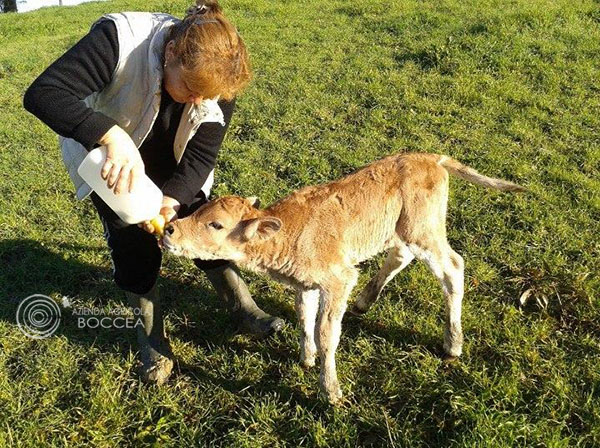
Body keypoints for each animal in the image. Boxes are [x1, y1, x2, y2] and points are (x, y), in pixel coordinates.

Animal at [162, 152, 524, 404]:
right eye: (198, 211)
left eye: (216, 225)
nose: (169, 229)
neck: (288, 235)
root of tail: (430, 157)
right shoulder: (306, 283)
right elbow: (304, 316)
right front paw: (306, 358)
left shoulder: (339, 278)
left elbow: (326, 333)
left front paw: (330, 390)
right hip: (402, 231)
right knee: (401, 255)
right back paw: (364, 302)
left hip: (425, 231)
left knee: (453, 267)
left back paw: (453, 343)